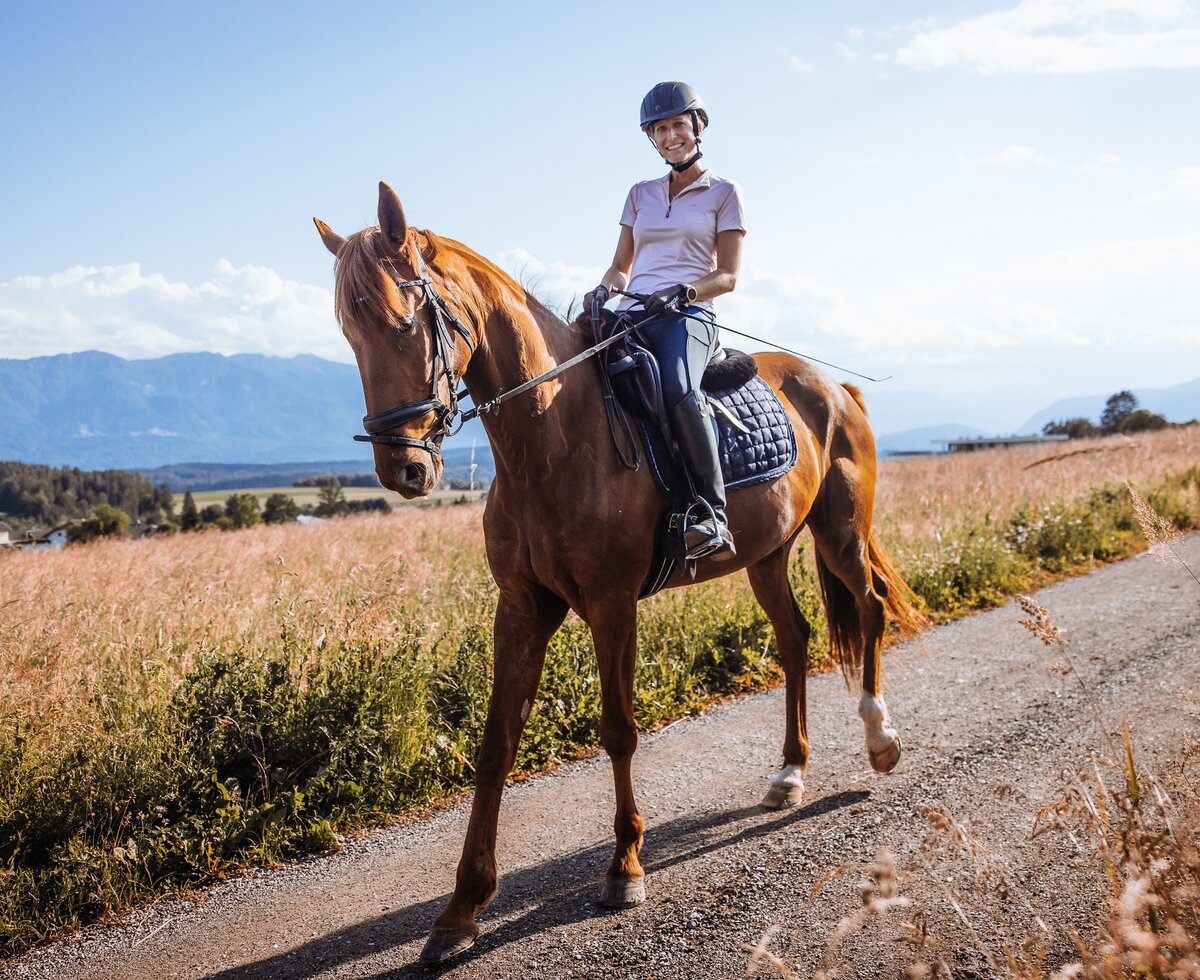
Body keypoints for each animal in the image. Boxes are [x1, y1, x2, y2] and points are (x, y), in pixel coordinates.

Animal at [314, 183, 921, 964]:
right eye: (349, 334)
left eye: (404, 322)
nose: (404, 470)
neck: (553, 434)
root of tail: (834, 386)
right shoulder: (521, 608)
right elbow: (495, 745)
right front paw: (461, 908)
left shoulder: (611, 603)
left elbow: (619, 731)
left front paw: (625, 868)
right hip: (766, 555)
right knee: (795, 640)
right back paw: (789, 773)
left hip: (841, 531)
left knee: (869, 608)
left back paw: (880, 741)